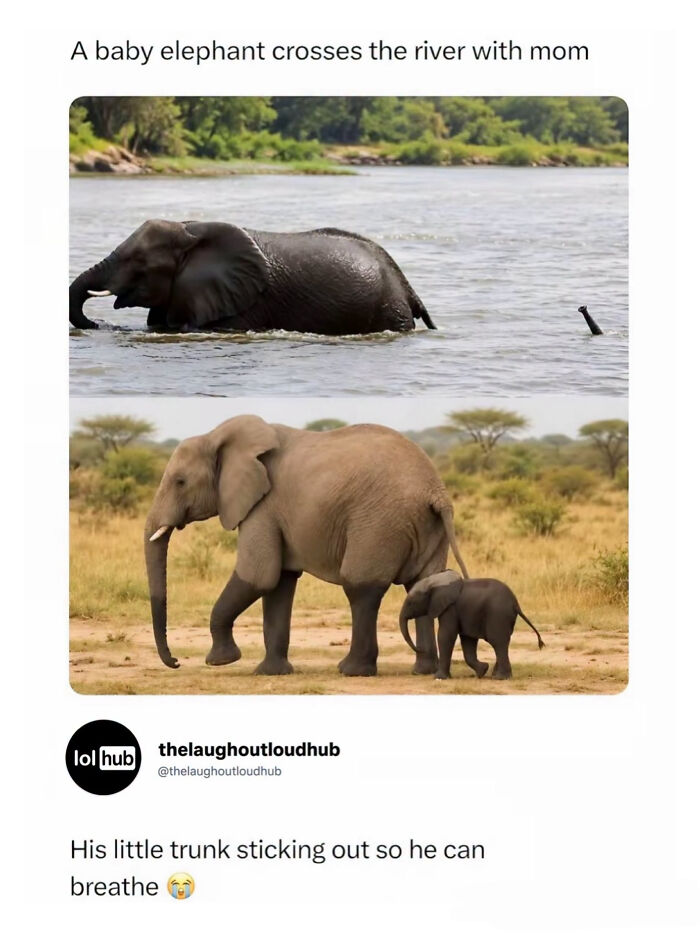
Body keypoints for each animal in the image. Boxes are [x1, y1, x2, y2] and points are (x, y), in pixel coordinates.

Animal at [69, 220, 436, 334]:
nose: (98, 325)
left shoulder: (243, 306)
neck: (189, 229)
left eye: (138, 261)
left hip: (388, 310)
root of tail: (407, 287)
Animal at [144, 416, 468, 676]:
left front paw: (222, 661)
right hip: (425, 525)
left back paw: (352, 670)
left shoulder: (262, 506)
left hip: (379, 522)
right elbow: (279, 584)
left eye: (180, 482)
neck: (216, 436)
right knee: (422, 584)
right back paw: (424, 671)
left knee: (360, 587)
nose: (176, 662)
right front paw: (270, 673)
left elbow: (258, 576)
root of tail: (435, 491)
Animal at [399, 570, 545, 680]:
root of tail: (515, 603)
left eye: (411, 603)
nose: (421, 649)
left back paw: (500, 678)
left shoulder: (450, 608)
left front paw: (439, 678)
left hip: (498, 614)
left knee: (498, 642)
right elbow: (468, 640)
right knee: (503, 643)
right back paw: (494, 675)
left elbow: (446, 635)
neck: (435, 581)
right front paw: (482, 671)